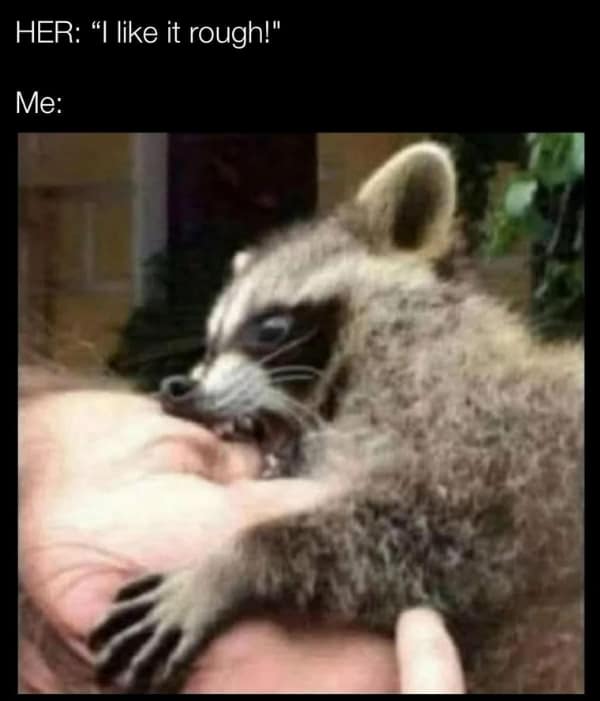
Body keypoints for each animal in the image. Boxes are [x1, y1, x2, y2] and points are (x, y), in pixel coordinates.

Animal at [89, 143, 584, 693]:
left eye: (270, 328)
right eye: (212, 341)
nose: (177, 388)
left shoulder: (489, 431)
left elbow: (445, 531)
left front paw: (239, 559)